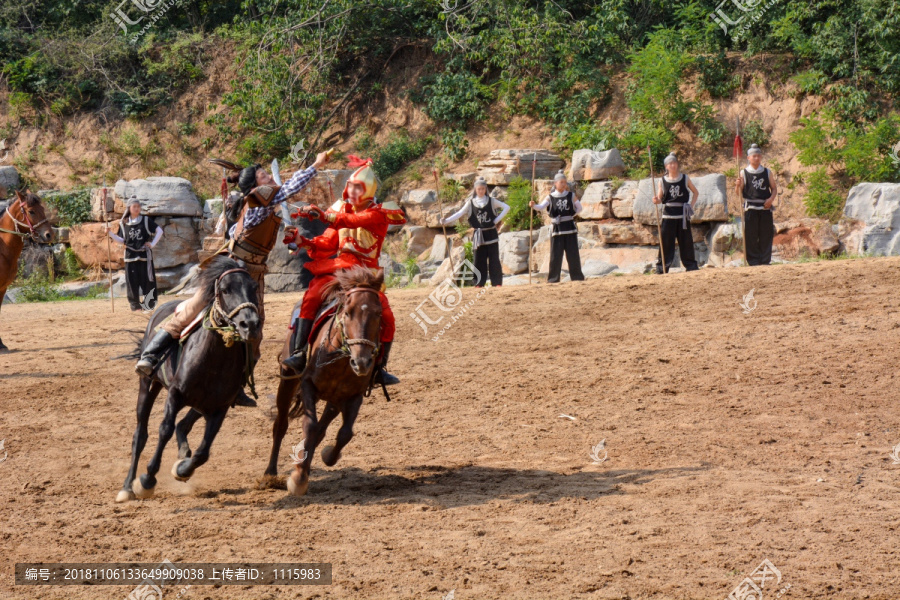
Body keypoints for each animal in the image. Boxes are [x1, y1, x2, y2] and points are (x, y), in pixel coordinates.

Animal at [116, 256, 260, 502]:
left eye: (254, 288)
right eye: (225, 289)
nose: (249, 324)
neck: (212, 361)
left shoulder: (220, 408)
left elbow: (203, 452)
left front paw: (182, 469)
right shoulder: (175, 395)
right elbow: (164, 429)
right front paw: (147, 479)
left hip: (202, 404)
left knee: (183, 425)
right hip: (148, 385)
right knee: (140, 435)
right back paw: (127, 487)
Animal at [264, 268, 384, 496]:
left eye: (379, 314)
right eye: (348, 312)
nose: (362, 362)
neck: (341, 357)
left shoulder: (354, 396)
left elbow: (344, 433)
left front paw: (326, 456)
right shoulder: (307, 386)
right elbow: (310, 426)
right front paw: (298, 480)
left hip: (334, 400)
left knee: (321, 430)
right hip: (288, 382)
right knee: (281, 424)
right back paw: (271, 473)